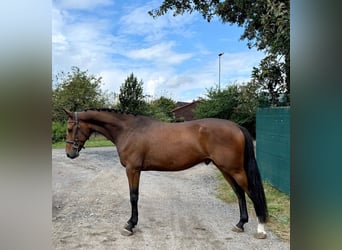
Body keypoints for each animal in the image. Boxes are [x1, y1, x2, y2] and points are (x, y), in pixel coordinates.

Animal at [63, 108, 268, 239]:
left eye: (70, 128)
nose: (69, 154)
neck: (128, 129)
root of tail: (237, 127)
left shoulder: (132, 169)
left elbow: (133, 196)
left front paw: (130, 225)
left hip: (235, 170)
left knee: (252, 194)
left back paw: (261, 230)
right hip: (225, 169)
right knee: (240, 194)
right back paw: (240, 224)